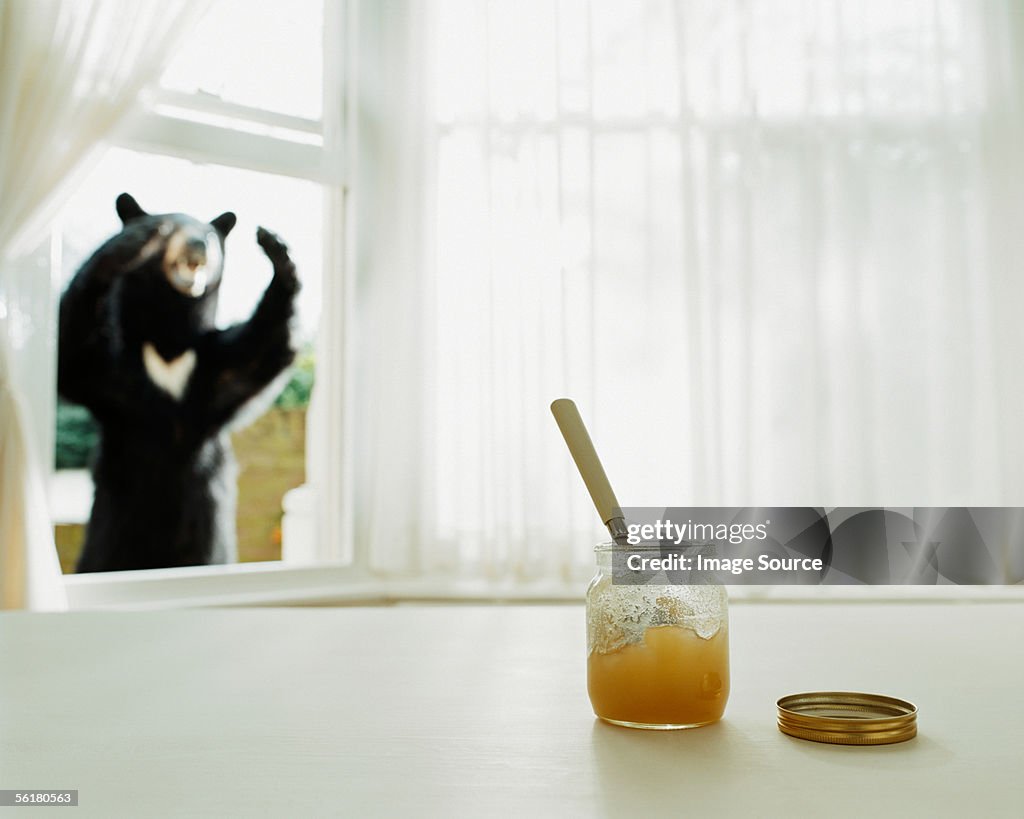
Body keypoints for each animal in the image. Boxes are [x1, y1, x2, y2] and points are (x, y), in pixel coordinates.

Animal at [59, 194, 299, 573]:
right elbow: (77, 355)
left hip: (208, 545)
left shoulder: (211, 368)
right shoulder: (114, 372)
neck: (168, 343)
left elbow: (261, 353)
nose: (198, 244)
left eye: (210, 235)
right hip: (109, 535)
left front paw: (277, 252)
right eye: (169, 228)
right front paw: (128, 243)